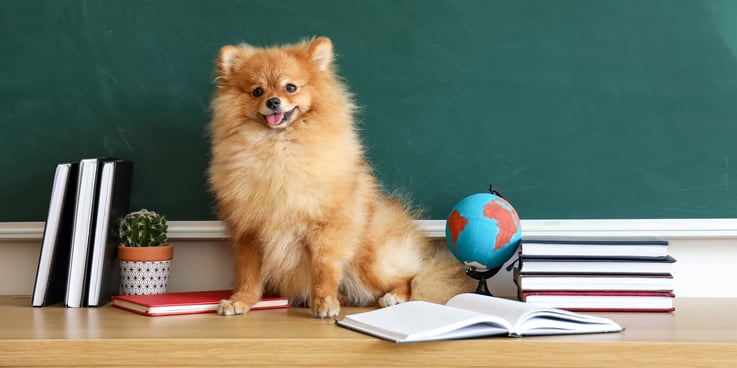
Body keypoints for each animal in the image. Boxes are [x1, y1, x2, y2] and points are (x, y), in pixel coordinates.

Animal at [207, 38, 472, 320]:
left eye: (291, 87)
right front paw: (240, 301)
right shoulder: (249, 232)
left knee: (416, 277)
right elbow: (248, 275)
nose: (274, 102)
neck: (277, 150)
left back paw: (394, 297)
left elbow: (324, 268)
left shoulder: (327, 226)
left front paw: (324, 302)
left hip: (370, 260)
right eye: (257, 91)